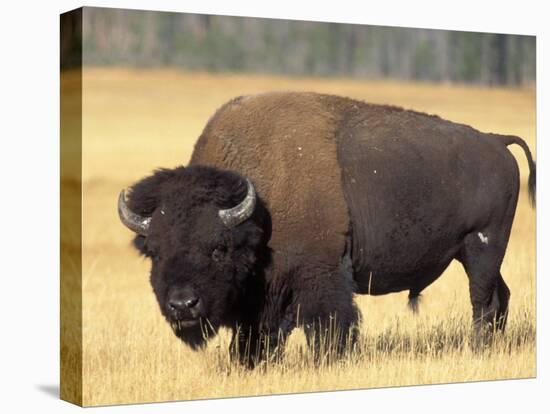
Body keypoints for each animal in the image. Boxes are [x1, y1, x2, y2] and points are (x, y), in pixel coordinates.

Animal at [118, 91, 536, 366]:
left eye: (219, 248)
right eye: (154, 252)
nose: (182, 305)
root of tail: (496, 142)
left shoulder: (320, 275)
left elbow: (328, 324)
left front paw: (331, 359)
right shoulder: (265, 294)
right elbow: (259, 334)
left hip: (482, 247)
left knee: (482, 301)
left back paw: (478, 349)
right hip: (476, 254)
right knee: (500, 296)